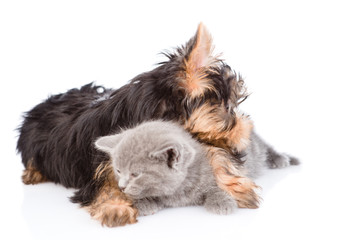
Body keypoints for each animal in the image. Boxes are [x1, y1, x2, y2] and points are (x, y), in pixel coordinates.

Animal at [17, 23, 262, 227]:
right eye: (228, 107)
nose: (247, 127)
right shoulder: (102, 163)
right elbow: (106, 185)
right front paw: (115, 207)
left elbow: (212, 156)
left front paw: (234, 186)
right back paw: (33, 174)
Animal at [95, 121, 298, 217]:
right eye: (118, 171)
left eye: (135, 174)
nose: (121, 187)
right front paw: (144, 202)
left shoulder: (219, 169)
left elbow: (219, 187)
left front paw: (222, 202)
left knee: (265, 148)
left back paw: (281, 158)